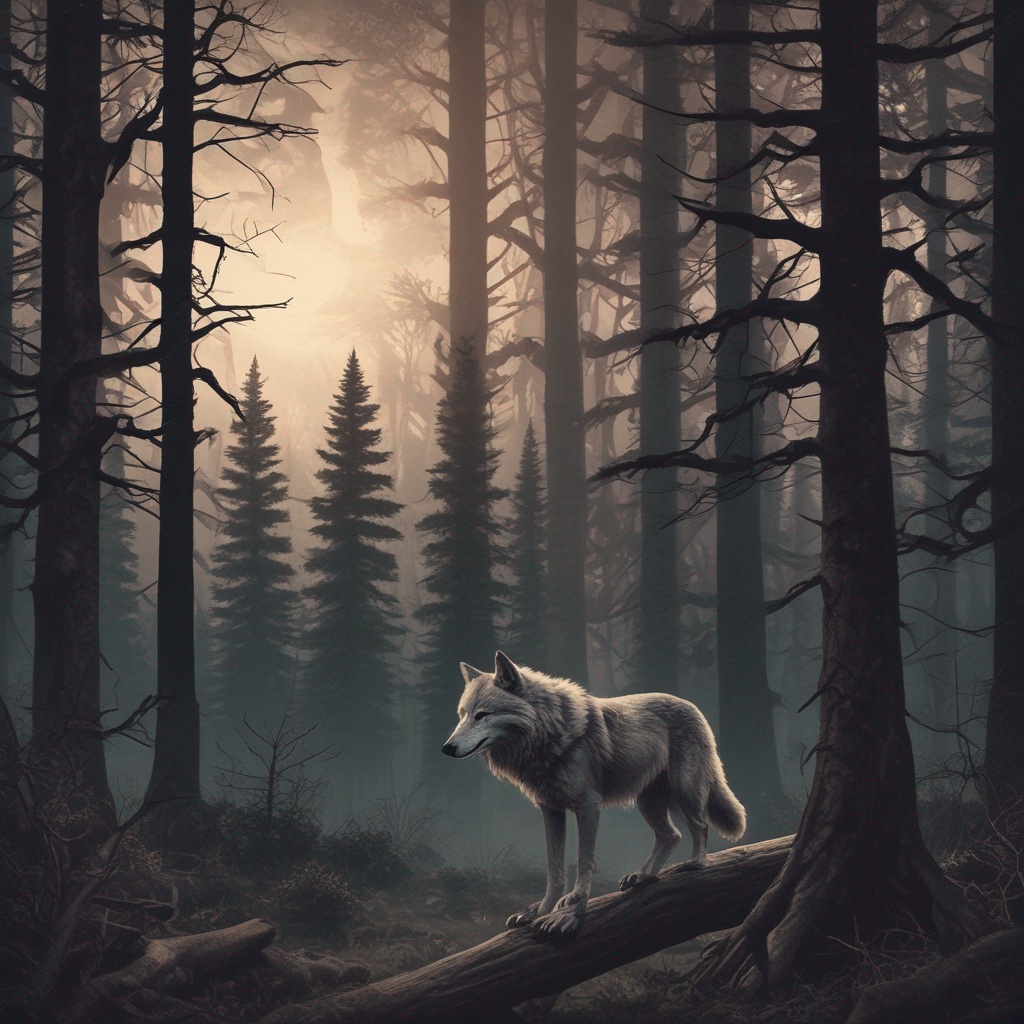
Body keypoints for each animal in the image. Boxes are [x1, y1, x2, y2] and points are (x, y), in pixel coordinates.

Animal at [442, 651, 746, 938]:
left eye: (482, 715)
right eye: (462, 715)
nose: (447, 748)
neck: (549, 733)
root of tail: (692, 706)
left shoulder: (587, 805)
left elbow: (583, 860)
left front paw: (575, 901)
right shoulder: (551, 809)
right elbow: (554, 869)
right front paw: (539, 912)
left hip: (684, 790)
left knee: (700, 825)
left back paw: (695, 864)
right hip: (647, 801)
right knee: (671, 835)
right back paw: (642, 876)